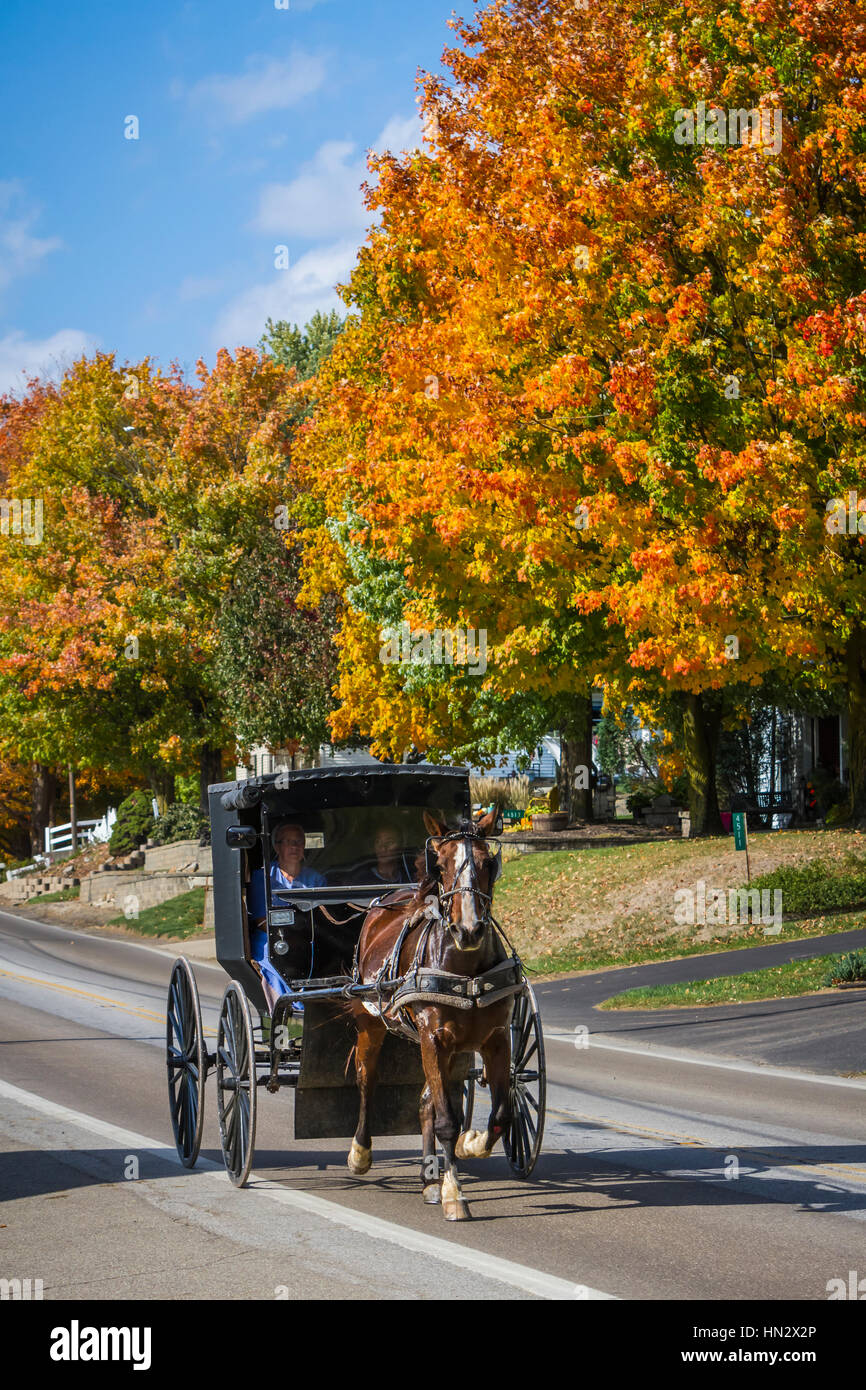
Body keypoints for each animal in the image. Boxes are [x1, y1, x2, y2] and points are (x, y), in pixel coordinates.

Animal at [346, 811, 522, 1223]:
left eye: (488, 863)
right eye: (440, 866)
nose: (469, 929)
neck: (467, 970)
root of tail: (388, 898)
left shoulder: (495, 1039)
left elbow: (500, 1114)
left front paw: (469, 1144)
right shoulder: (433, 1038)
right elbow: (446, 1120)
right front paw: (454, 1193)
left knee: (426, 1100)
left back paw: (429, 1179)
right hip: (373, 1025)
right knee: (366, 1079)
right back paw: (360, 1152)